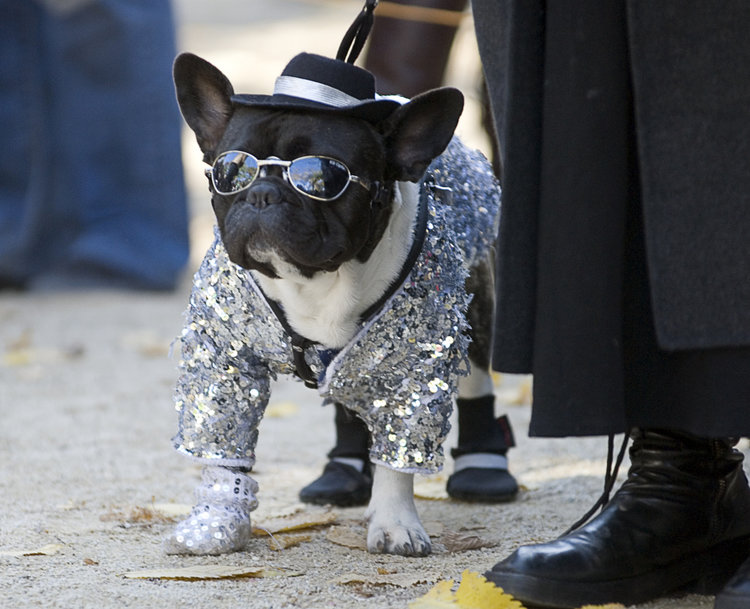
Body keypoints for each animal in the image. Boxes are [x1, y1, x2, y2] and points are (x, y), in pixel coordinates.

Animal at [165, 52, 504, 557]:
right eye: (231, 171)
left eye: (323, 178)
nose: (262, 193)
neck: (317, 280)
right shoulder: (223, 357)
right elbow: (222, 436)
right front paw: (216, 518)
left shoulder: (417, 369)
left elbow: (399, 454)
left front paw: (396, 522)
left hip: (474, 306)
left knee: (476, 382)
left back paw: (483, 464)